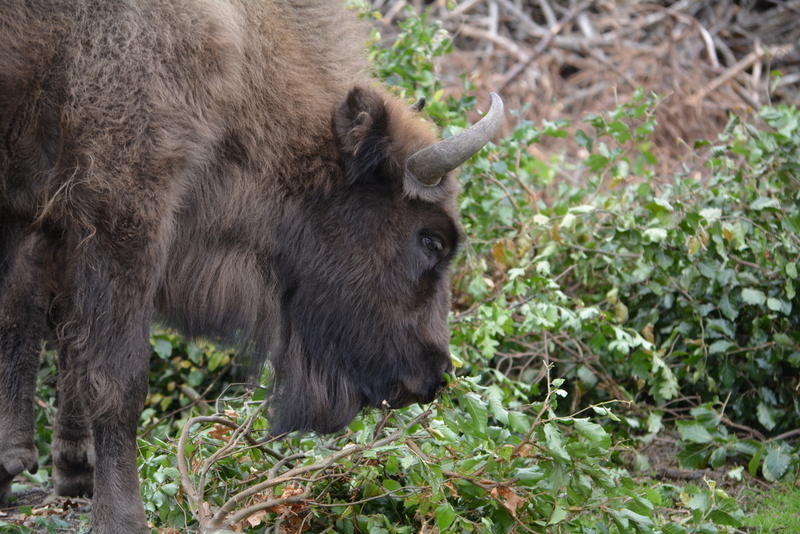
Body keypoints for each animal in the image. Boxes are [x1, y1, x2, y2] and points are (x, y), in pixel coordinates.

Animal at [0, 0, 500, 532]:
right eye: (430, 240)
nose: (434, 374)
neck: (239, 53)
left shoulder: (37, 209)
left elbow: (42, 323)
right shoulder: (125, 210)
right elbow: (117, 375)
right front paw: (122, 517)